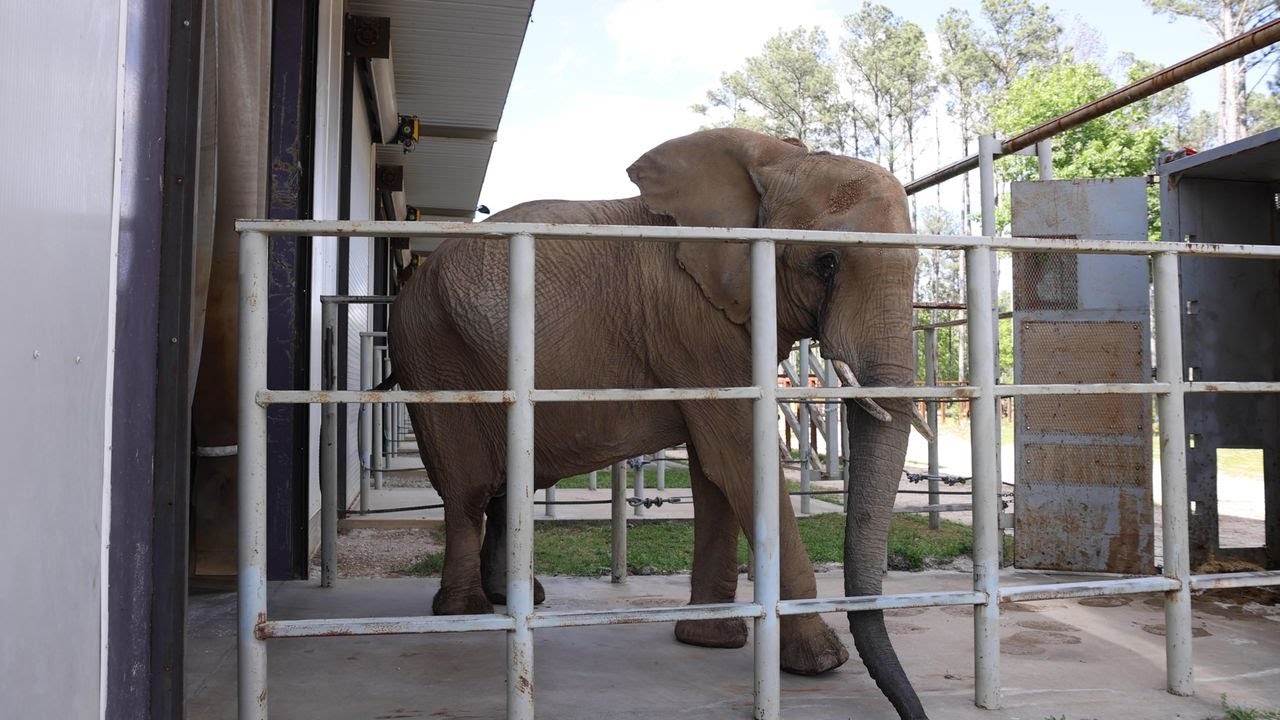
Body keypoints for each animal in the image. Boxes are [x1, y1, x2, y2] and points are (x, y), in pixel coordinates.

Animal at [389, 127, 928, 718]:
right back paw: (464, 613)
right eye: (826, 263)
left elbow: (715, 470)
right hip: (432, 352)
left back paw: (518, 599)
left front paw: (709, 640)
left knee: (507, 486)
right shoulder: (692, 315)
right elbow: (737, 456)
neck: (776, 163)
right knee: (467, 491)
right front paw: (821, 662)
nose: (914, 711)